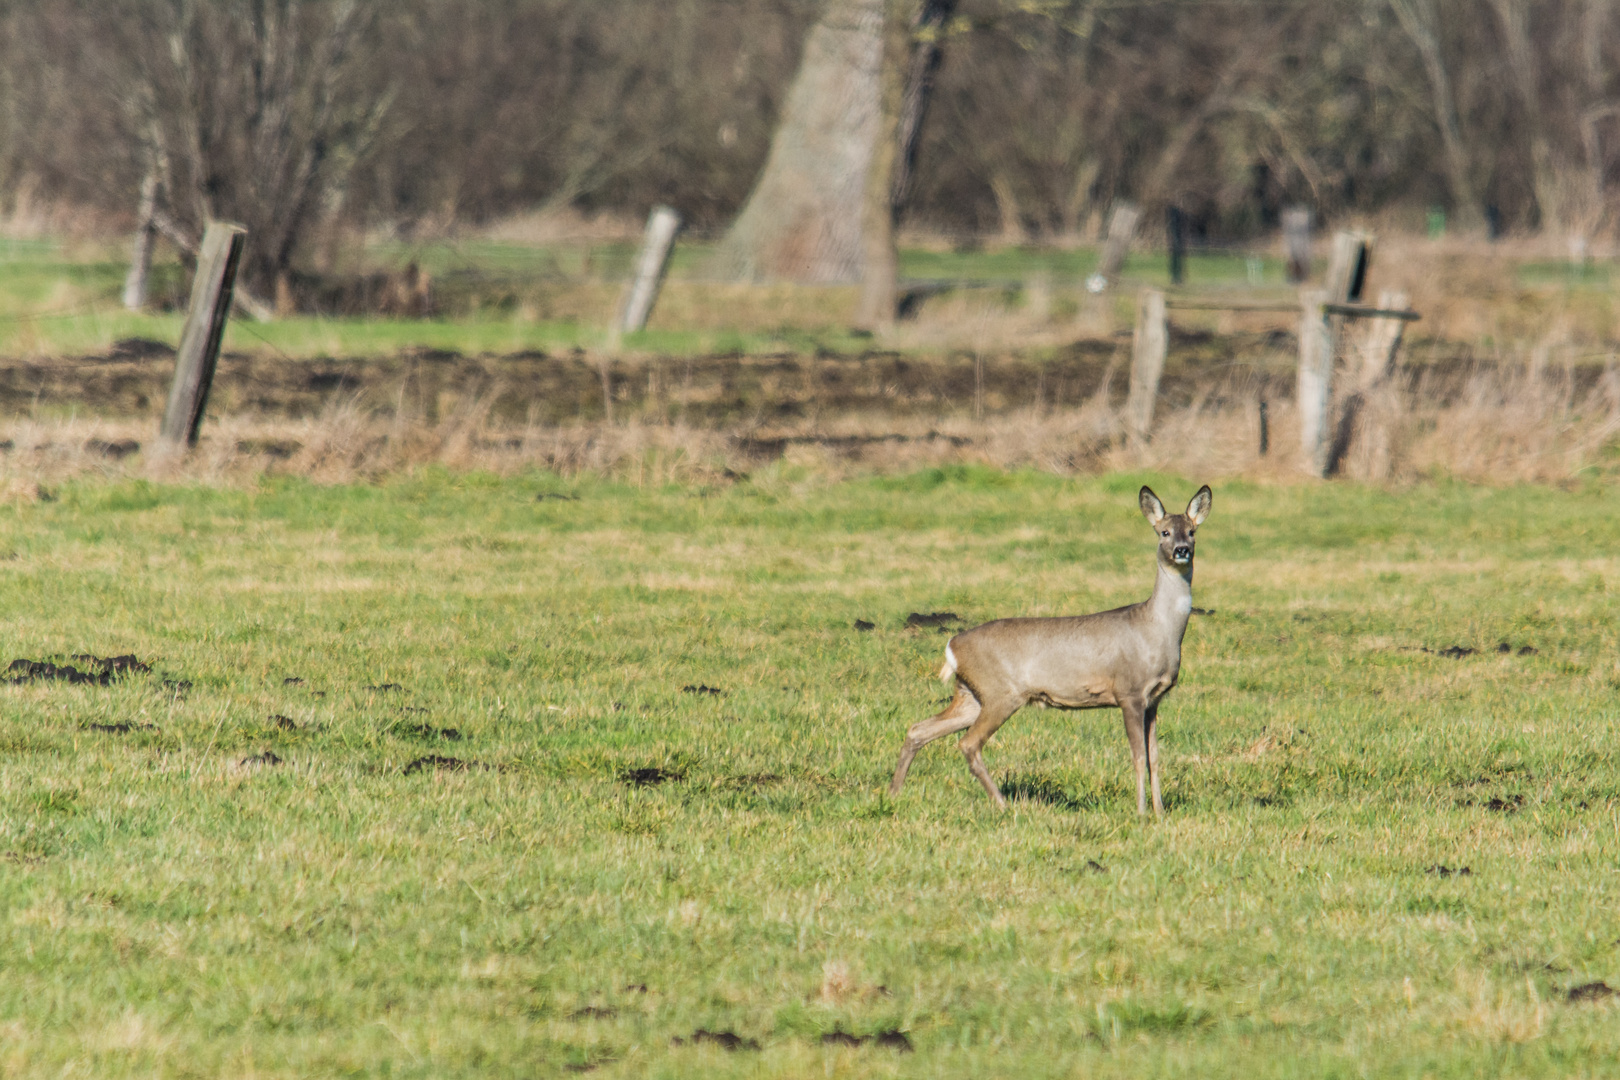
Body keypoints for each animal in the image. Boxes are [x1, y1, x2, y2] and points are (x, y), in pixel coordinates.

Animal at [887, 485, 1218, 816]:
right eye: (1164, 532)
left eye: (1192, 531)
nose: (1181, 550)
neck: (1156, 630)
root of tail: (952, 646)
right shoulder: (1129, 692)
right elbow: (1137, 756)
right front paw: (1141, 812)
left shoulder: (1154, 699)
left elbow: (1155, 758)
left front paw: (1160, 812)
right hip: (1000, 693)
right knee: (968, 743)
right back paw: (1003, 803)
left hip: (971, 694)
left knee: (919, 729)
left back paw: (894, 793)